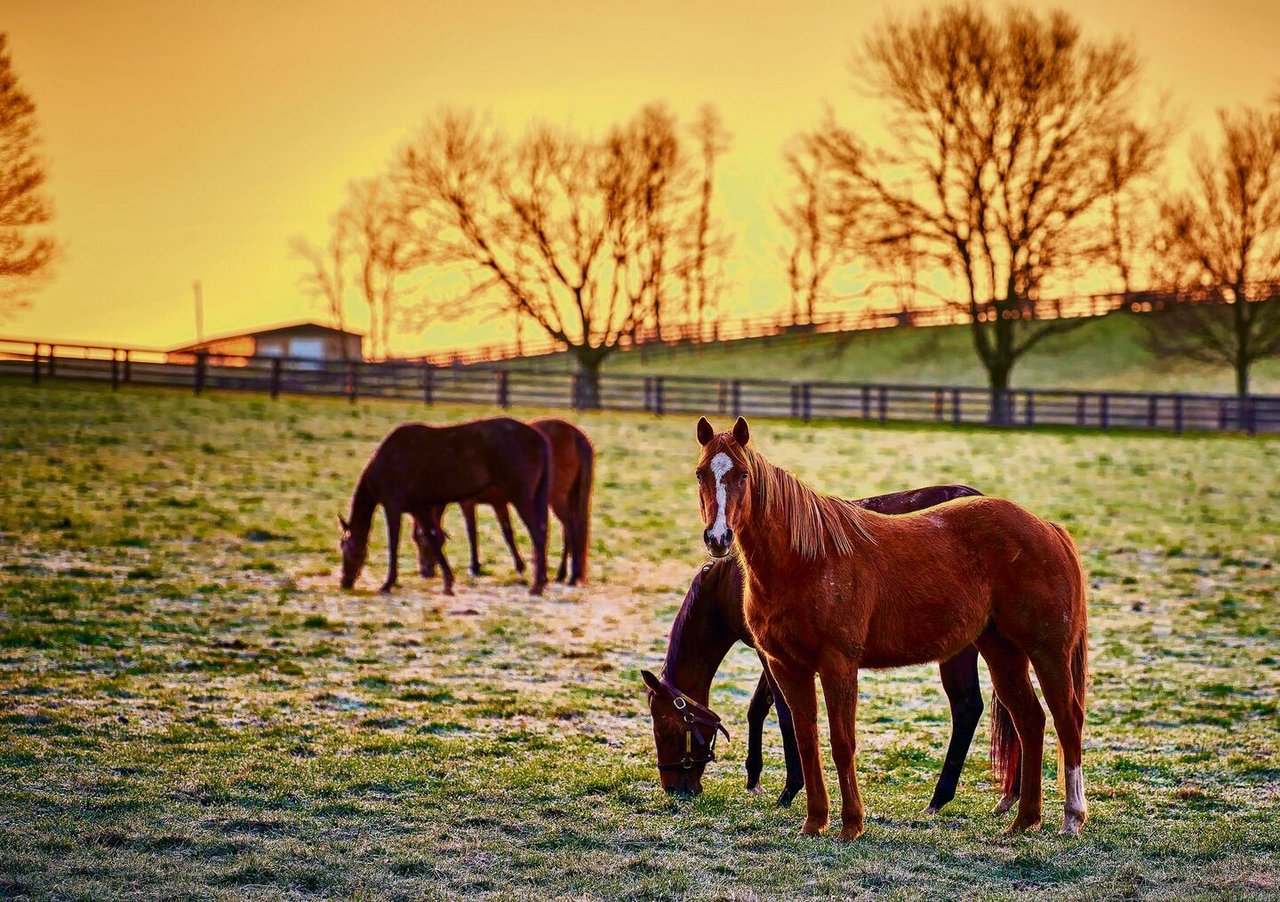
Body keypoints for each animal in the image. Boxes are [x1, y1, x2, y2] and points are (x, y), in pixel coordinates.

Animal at [337, 417, 547, 598]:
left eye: (345, 549)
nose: (344, 583)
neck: (385, 462)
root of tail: (537, 437)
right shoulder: (419, 508)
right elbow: (432, 538)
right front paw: (448, 581)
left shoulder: (392, 506)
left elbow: (394, 543)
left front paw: (388, 583)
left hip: (520, 497)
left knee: (537, 534)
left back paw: (537, 585)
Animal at [414, 419, 593, 588]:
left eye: (422, 541)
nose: (425, 572)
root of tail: (576, 435)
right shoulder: (499, 504)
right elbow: (507, 532)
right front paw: (520, 566)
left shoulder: (467, 503)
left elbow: (472, 533)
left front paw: (474, 568)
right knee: (569, 532)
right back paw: (562, 574)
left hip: (556, 499)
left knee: (570, 529)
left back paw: (572, 576)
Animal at [645, 488, 1024, 813]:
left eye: (665, 728)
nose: (674, 788)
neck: (729, 581)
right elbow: (758, 708)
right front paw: (754, 777)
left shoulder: (772, 654)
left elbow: (784, 714)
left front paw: (790, 789)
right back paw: (1012, 796)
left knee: (967, 707)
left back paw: (941, 797)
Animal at [691, 414, 1090, 839]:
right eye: (701, 473)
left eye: (743, 475)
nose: (718, 538)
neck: (806, 559)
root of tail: (1046, 527)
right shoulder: (787, 666)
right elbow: (806, 739)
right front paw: (815, 822)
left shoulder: (838, 663)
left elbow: (842, 742)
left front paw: (851, 825)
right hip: (1002, 652)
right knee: (1031, 721)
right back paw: (1024, 820)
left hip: (1047, 651)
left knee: (1067, 720)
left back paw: (1072, 817)